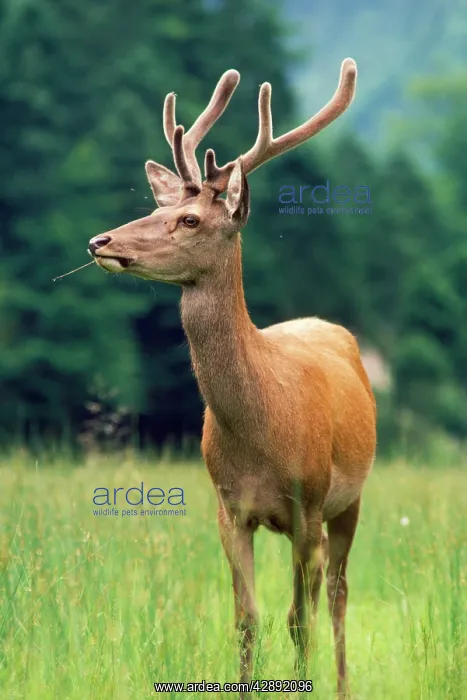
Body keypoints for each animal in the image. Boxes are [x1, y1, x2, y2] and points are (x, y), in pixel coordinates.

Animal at [88, 59, 376, 698]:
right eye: (156, 208)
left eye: (190, 218)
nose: (100, 241)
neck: (261, 435)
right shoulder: (228, 507)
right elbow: (247, 619)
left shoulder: (308, 504)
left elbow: (298, 620)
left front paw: (304, 681)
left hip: (350, 498)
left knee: (338, 596)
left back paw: (344, 683)